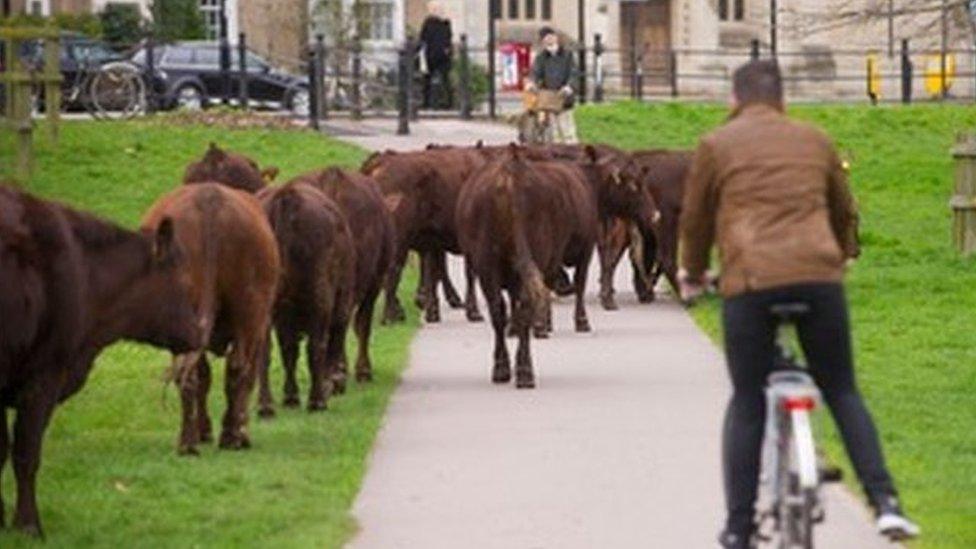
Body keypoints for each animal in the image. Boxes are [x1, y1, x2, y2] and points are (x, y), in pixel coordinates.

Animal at [145, 184, 282, 454]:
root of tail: (209, 196)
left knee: (194, 373)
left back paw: (189, 442)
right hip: (250, 314)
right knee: (238, 368)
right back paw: (231, 436)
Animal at [254, 182, 356, 414]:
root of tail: (287, 195)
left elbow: (289, 350)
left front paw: (290, 396)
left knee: (265, 350)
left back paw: (266, 405)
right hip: (320, 299)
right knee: (316, 346)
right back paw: (317, 400)